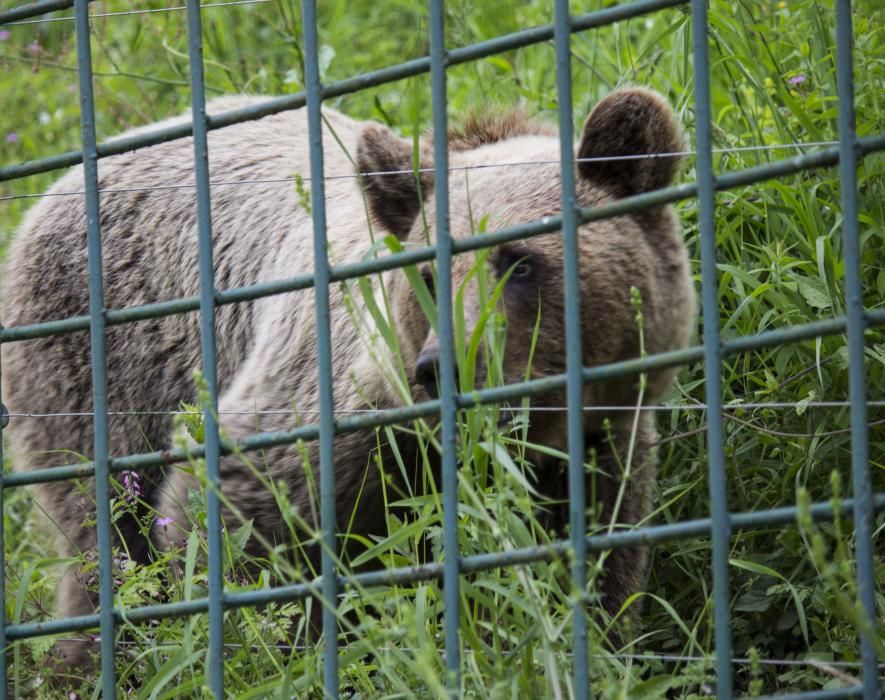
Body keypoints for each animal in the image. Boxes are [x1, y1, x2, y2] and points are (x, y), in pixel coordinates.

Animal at [0, 89, 696, 672]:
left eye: (519, 262)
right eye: (430, 276)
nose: (442, 365)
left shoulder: (598, 444)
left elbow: (592, 563)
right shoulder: (329, 410)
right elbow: (236, 519)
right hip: (102, 362)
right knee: (105, 530)